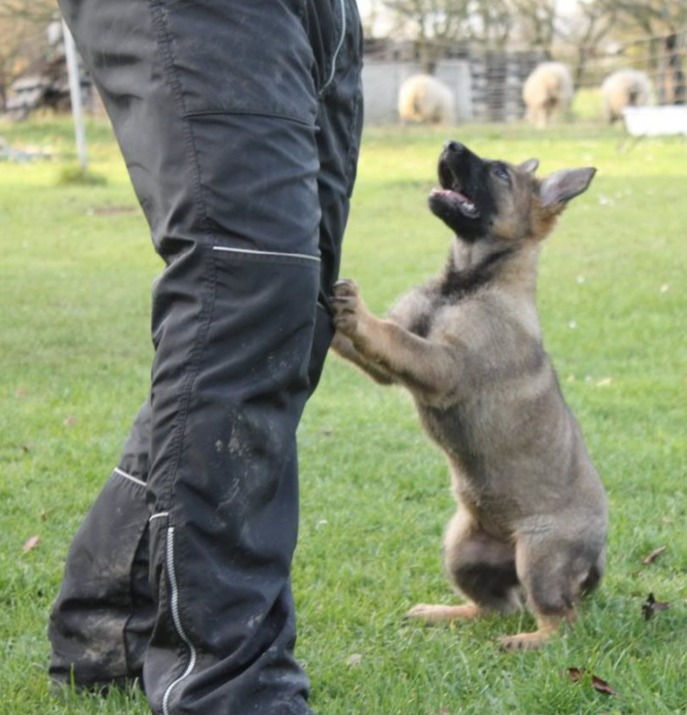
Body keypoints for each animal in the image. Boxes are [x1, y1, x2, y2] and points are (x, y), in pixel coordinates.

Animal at [330, 141, 607, 651]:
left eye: (499, 174)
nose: (450, 144)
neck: (463, 284)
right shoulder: (394, 361)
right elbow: (377, 341)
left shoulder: (442, 367)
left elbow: (394, 338)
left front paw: (357, 312)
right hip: (460, 550)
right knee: (495, 607)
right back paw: (443, 613)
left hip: (540, 557)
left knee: (562, 622)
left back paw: (525, 642)